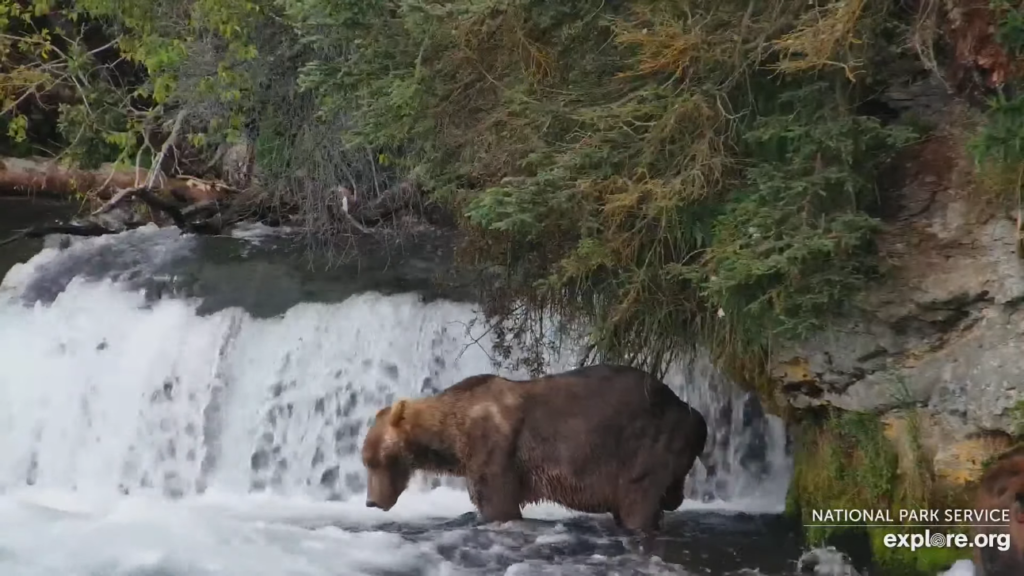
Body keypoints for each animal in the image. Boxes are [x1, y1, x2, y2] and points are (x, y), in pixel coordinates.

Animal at [358, 360, 704, 532]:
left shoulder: (495, 449)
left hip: (644, 446)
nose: (371, 501)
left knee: (638, 500)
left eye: (375, 460)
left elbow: (498, 504)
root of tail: (692, 414)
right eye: (366, 461)